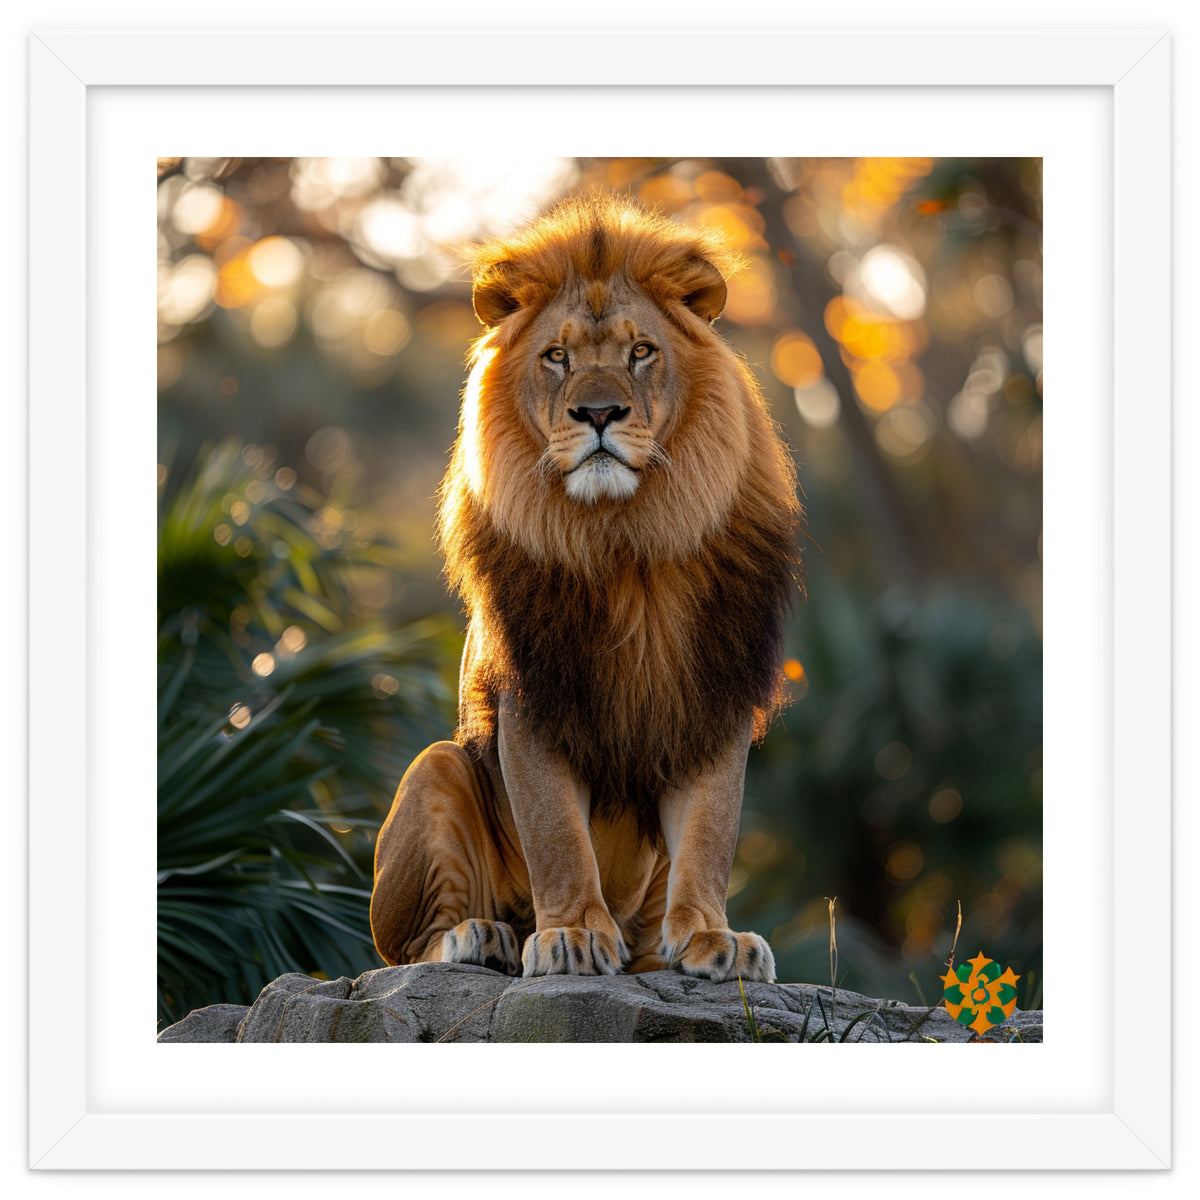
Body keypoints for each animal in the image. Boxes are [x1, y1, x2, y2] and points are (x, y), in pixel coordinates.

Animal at [370, 195, 802, 984]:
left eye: (641, 352)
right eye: (557, 357)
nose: (599, 414)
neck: (625, 541)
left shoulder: (713, 696)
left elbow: (709, 833)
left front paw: (712, 938)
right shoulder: (532, 697)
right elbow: (557, 836)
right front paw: (569, 934)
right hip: (436, 768)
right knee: (406, 949)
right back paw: (483, 936)